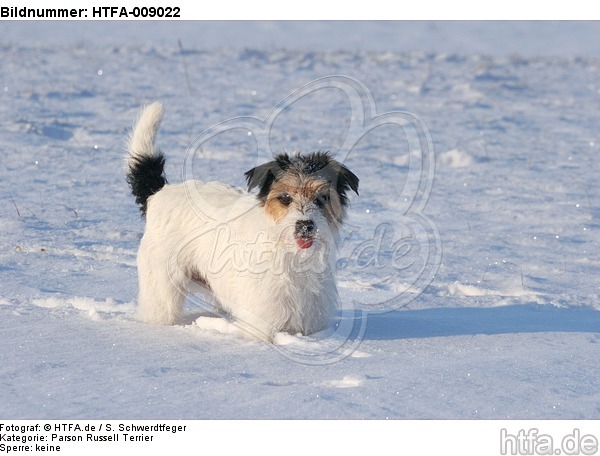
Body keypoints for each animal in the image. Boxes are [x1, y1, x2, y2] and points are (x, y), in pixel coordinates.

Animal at [125, 101, 358, 340]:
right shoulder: (261, 323)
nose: (305, 225)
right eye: (285, 198)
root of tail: (159, 193)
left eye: (321, 198)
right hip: (162, 291)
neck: (291, 255)